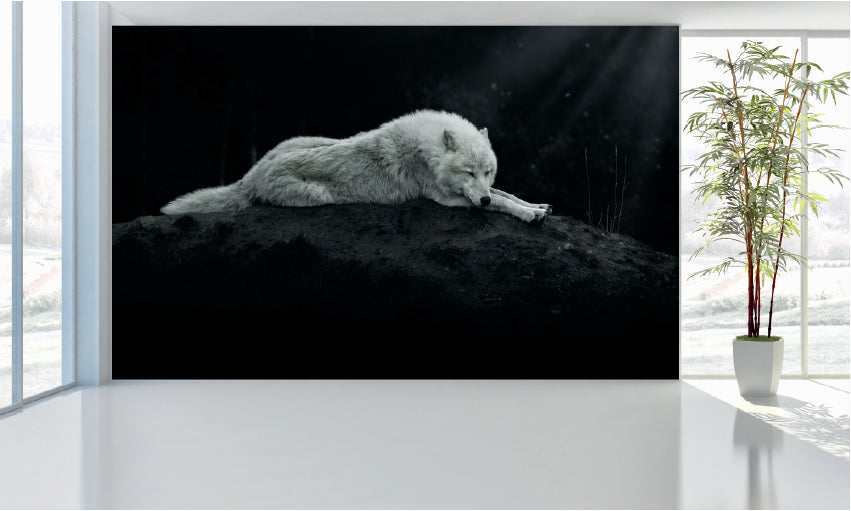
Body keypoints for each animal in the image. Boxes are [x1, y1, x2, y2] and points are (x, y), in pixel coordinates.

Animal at [161, 110, 552, 223]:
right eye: (468, 172)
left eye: (488, 171)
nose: (480, 199)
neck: (427, 150)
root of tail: (249, 175)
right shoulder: (448, 198)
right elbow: (500, 202)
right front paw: (527, 214)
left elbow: (506, 193)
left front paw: (536, 205)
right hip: (318, 195)